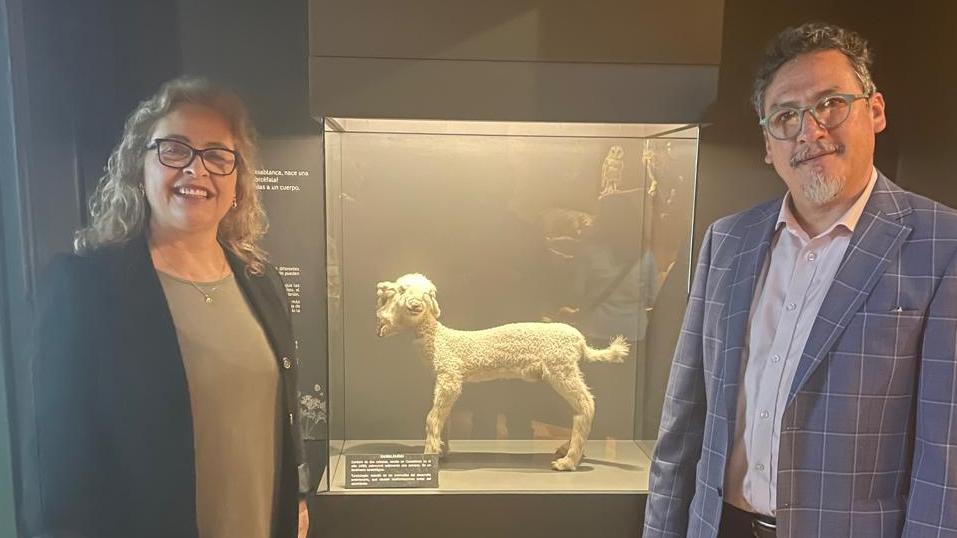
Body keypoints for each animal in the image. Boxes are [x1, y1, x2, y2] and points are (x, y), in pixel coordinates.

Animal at [374, 272, 628, 468]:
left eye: (399, 290)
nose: (380, 288)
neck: (439, 339)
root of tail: (581, 342)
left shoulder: (450, 378)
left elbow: (432, 418)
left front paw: (429, 457)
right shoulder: (446, 380)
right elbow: (443, 417)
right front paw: (442, 451)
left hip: (561, 370)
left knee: (587, 404)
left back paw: (567, 462)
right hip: (562, 372)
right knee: (577, 409)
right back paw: (567, 451)